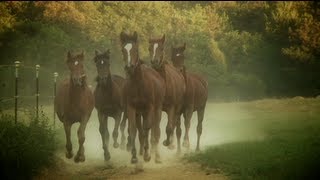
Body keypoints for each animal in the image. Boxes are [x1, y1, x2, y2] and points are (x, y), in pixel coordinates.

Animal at [119, 31, 165, 164]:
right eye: (123, 50)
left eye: (135, 49)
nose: (129, 67)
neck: (139, 85)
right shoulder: (131, 109)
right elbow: (133, 130)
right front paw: (134, 156)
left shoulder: (150, 108)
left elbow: (148, 129)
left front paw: (147, 155)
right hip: (140, 113)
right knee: (140, 130)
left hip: (157, 110)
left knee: (155, 130)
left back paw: (156, 156)